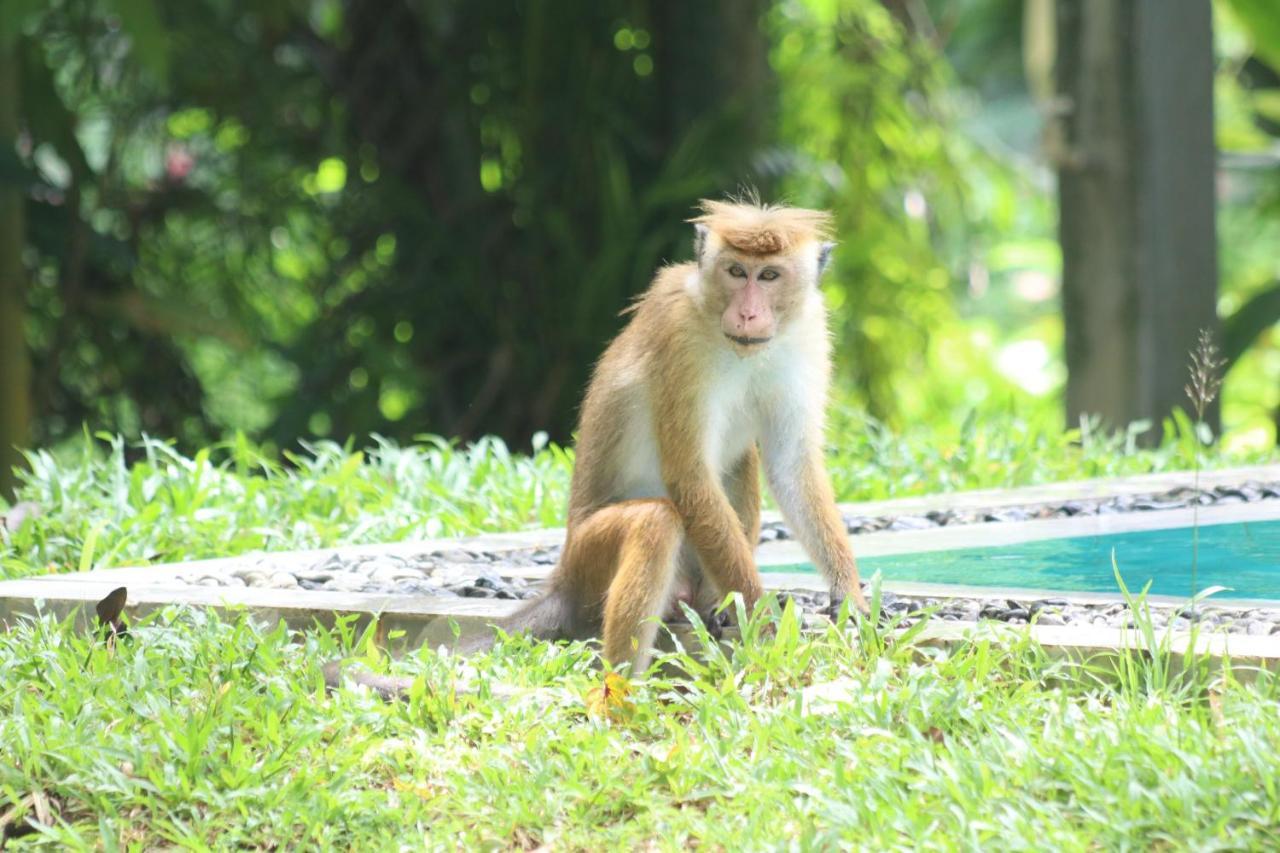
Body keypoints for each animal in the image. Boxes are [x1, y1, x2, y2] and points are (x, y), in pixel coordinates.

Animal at [325, 199, 875, 696]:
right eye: (737, 271)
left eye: (770, 276)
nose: (748, 311)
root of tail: (562, 581)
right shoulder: (680, 343)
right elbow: (691, 478)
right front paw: (764, 624)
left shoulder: (808, 335)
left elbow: (791, 466)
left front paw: (847, 594)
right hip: (589, 561)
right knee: (656, 522)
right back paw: (622, 696)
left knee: (744, 461)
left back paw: (707, 610)